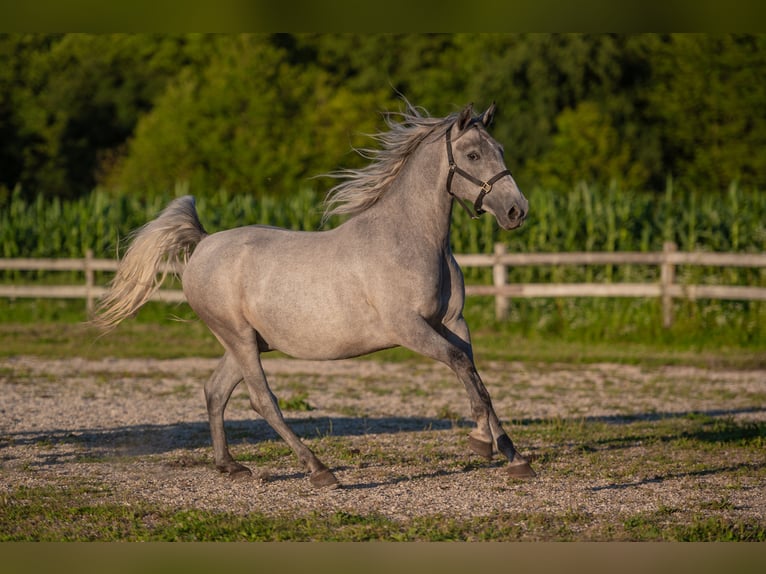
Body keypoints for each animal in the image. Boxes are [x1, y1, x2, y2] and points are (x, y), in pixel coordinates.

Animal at [94, 101, 536, 488]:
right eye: (473, 154)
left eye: (499, 149)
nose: (517, 211)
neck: (412, 239)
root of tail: (203, 243)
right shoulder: (409, 328)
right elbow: (462, 366)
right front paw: (481, 443)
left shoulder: (453, 322)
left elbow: (478, 379)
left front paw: (515, 458)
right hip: (238, 338)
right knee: (262, 400)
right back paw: (320, 471)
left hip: (248, 342)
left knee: (216, 391)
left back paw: (231, 466)